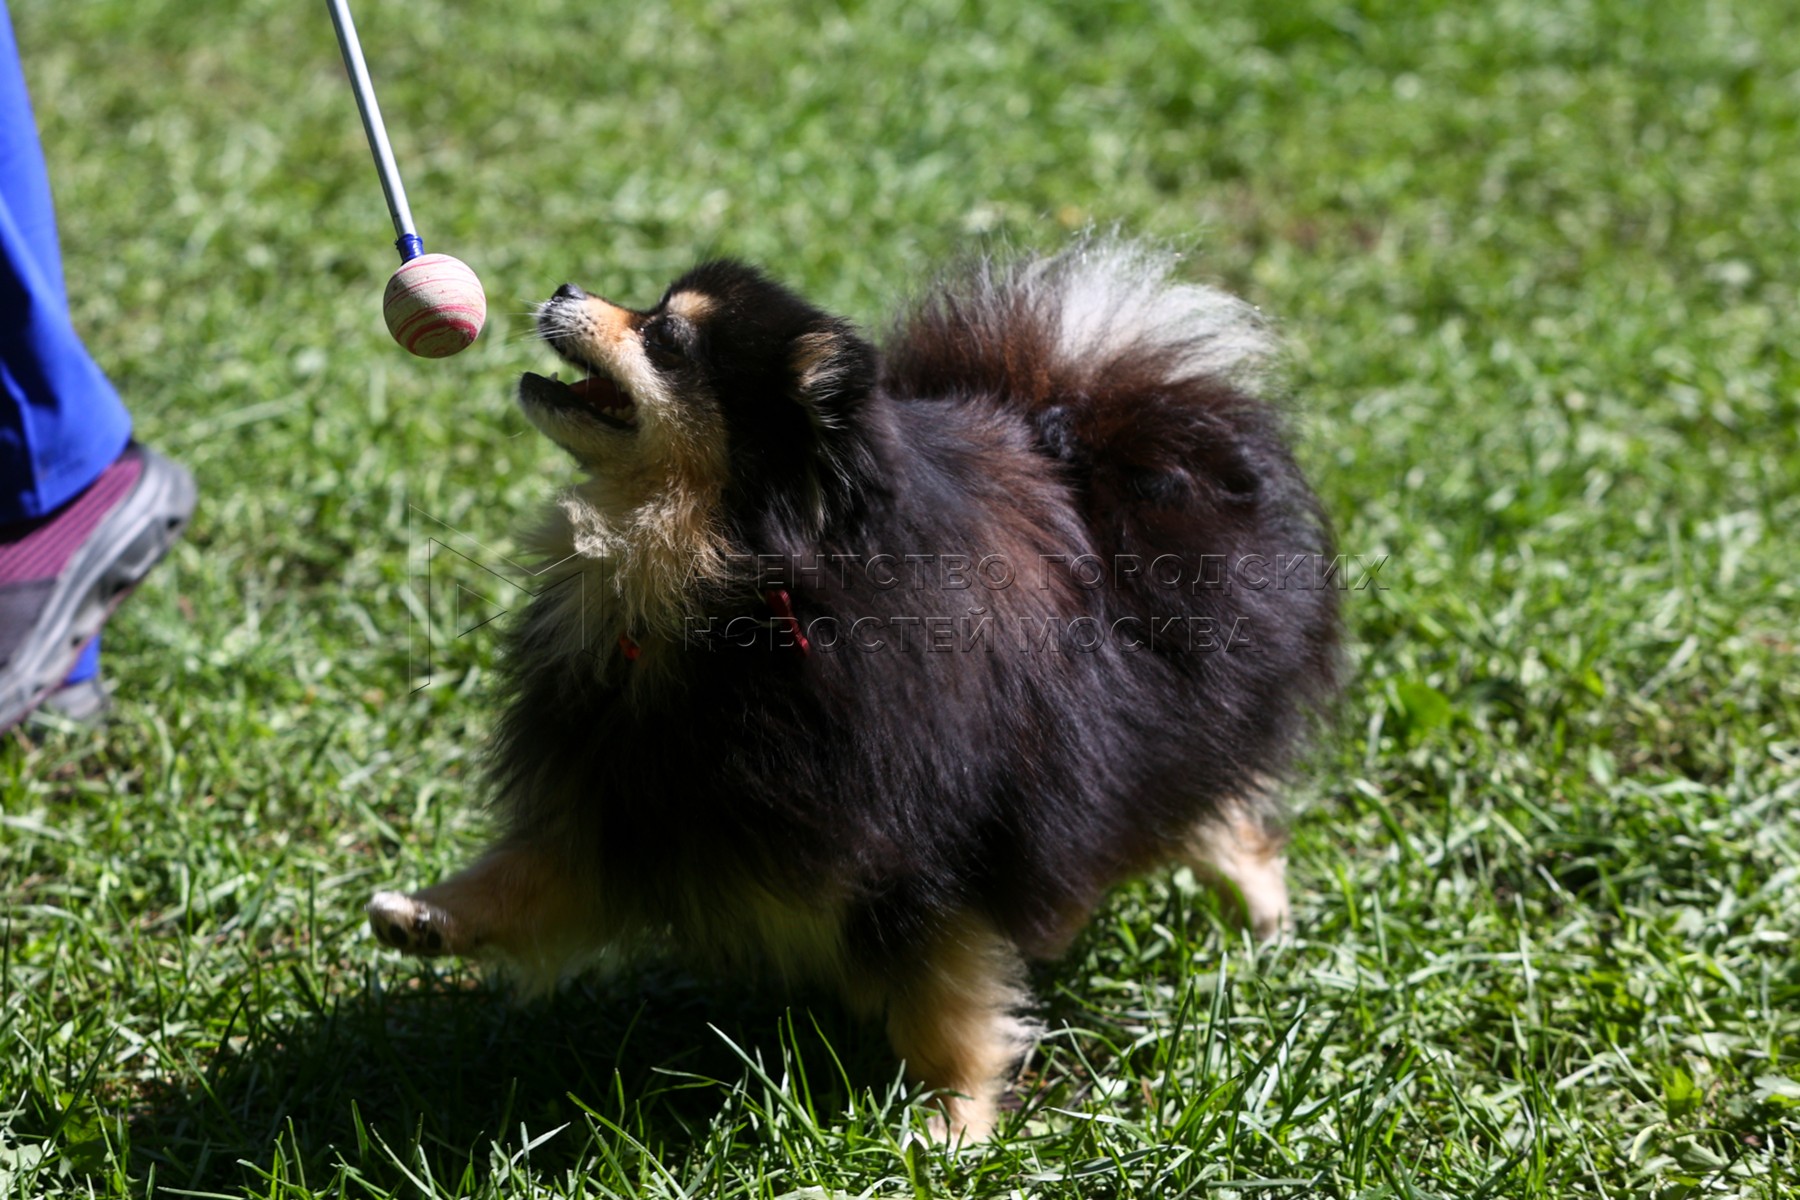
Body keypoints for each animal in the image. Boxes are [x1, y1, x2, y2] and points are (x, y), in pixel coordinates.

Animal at [365, 239, 1339, 1144]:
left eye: (666, 337)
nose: (565, 286)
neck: (729, 586)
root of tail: (1097, 441)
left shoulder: (917, 845)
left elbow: (947, 1003)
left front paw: (952, 1122)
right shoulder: (639, 787)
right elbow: (537, 873)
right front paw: (428, 917)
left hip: (1152, 737)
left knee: (1210, 808)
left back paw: (1263, 910)